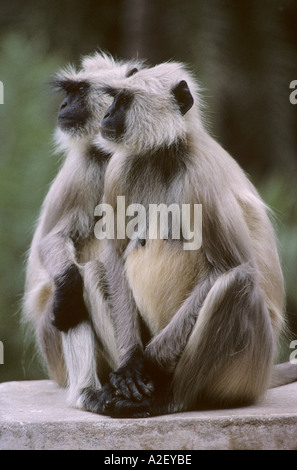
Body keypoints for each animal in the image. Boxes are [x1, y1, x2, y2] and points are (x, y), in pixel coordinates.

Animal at [22, 51, 142, 408]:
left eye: (80, 91)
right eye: (68, 91)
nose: (63, 105)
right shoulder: (86, 166)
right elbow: (55, 242)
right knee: (77, 287)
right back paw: (89, 393)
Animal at [87, 62, 294, 418]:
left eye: (124, 100)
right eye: (114, 98)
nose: (108, 114)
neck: (164, 154)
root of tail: (265, 375)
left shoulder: (202, 179)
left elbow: (231, 267)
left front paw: (144, 364)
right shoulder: (120, 168)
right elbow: (114, 254)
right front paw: (130, 363)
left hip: (250, 367)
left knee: (236, 284)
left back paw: (167, 398)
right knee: (90, 270)